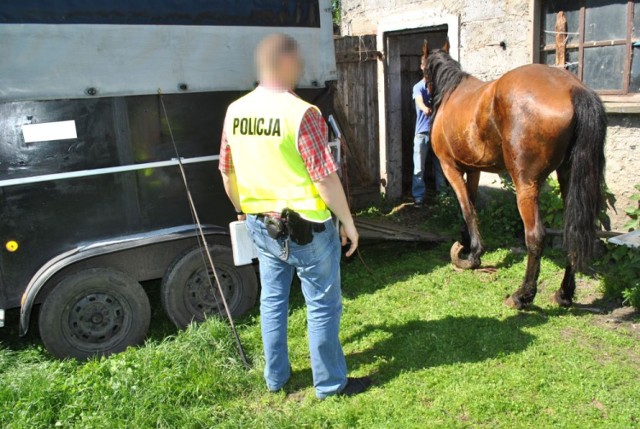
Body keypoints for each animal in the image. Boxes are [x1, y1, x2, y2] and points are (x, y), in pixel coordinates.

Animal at [422, 41, 608, 308]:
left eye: (423, 69)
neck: (452, 93)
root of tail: (573, 88)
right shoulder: (474, 170)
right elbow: (472, 205)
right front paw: (467, 244)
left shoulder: (451, 168)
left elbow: (467, 209)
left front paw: (472, 255)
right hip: (569, 179)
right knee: (572, 231)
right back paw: (564, 293)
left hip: (525, 185)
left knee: (535, 236)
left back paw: (522, 295)